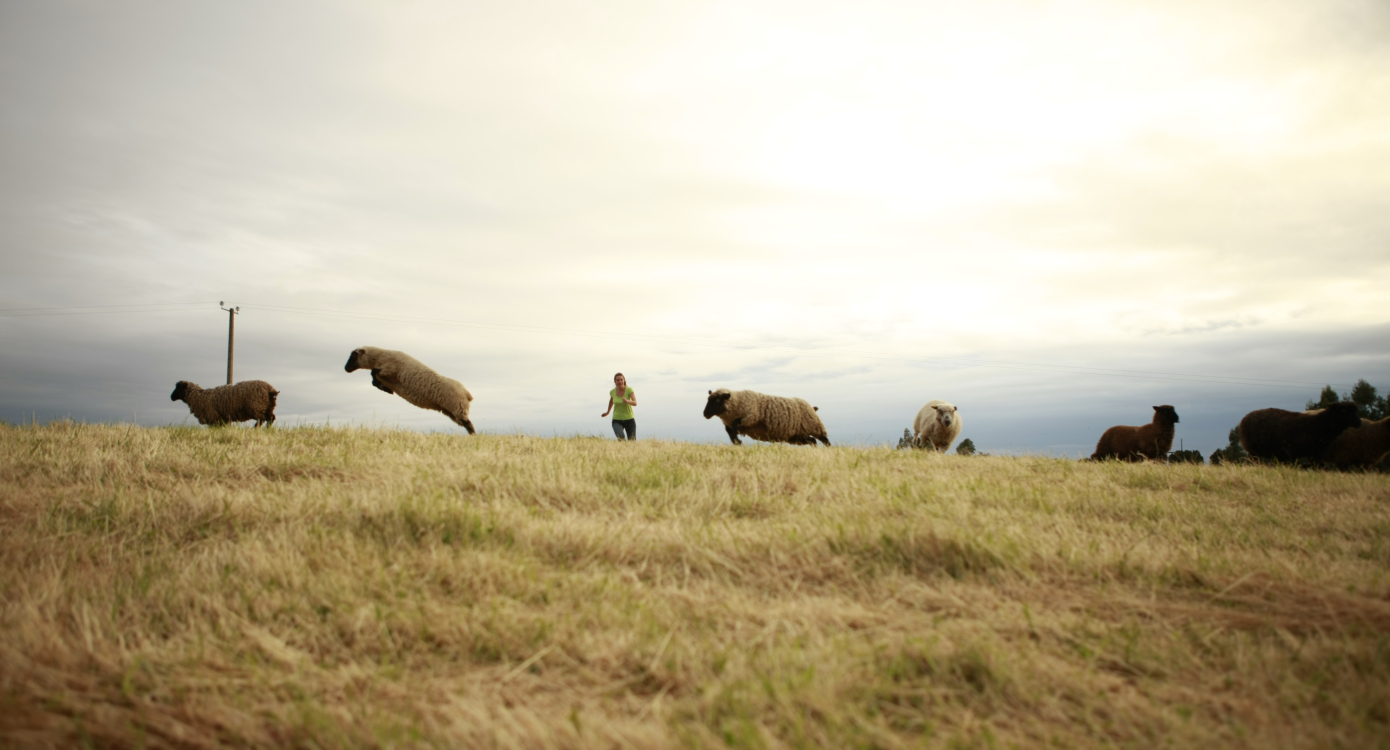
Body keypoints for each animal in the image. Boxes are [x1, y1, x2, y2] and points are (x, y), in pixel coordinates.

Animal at [346, 345, 478, 433]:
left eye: (353, 355)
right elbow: (374, 379)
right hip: (450, 410)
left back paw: (473, 437)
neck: (381, 357)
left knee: (468, 424)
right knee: (466, 424)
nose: (345, 368)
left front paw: (387, 390)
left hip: (457, 406)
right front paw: (385, 389)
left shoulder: (389, 369)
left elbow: (373, 372)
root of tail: (466, 393)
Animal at [700, 386, 828, 444]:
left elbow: (735, 425)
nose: (705, 414)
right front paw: (736, 441)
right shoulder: (731, 424)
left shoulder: (750, 418)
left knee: (824, 440)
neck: (737, 402)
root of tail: (812, 408)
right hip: (797, 436)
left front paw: (737, 440)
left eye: (717, 400)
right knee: (812, 441)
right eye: (708, 399)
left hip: (814, 426)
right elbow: (729, 431)